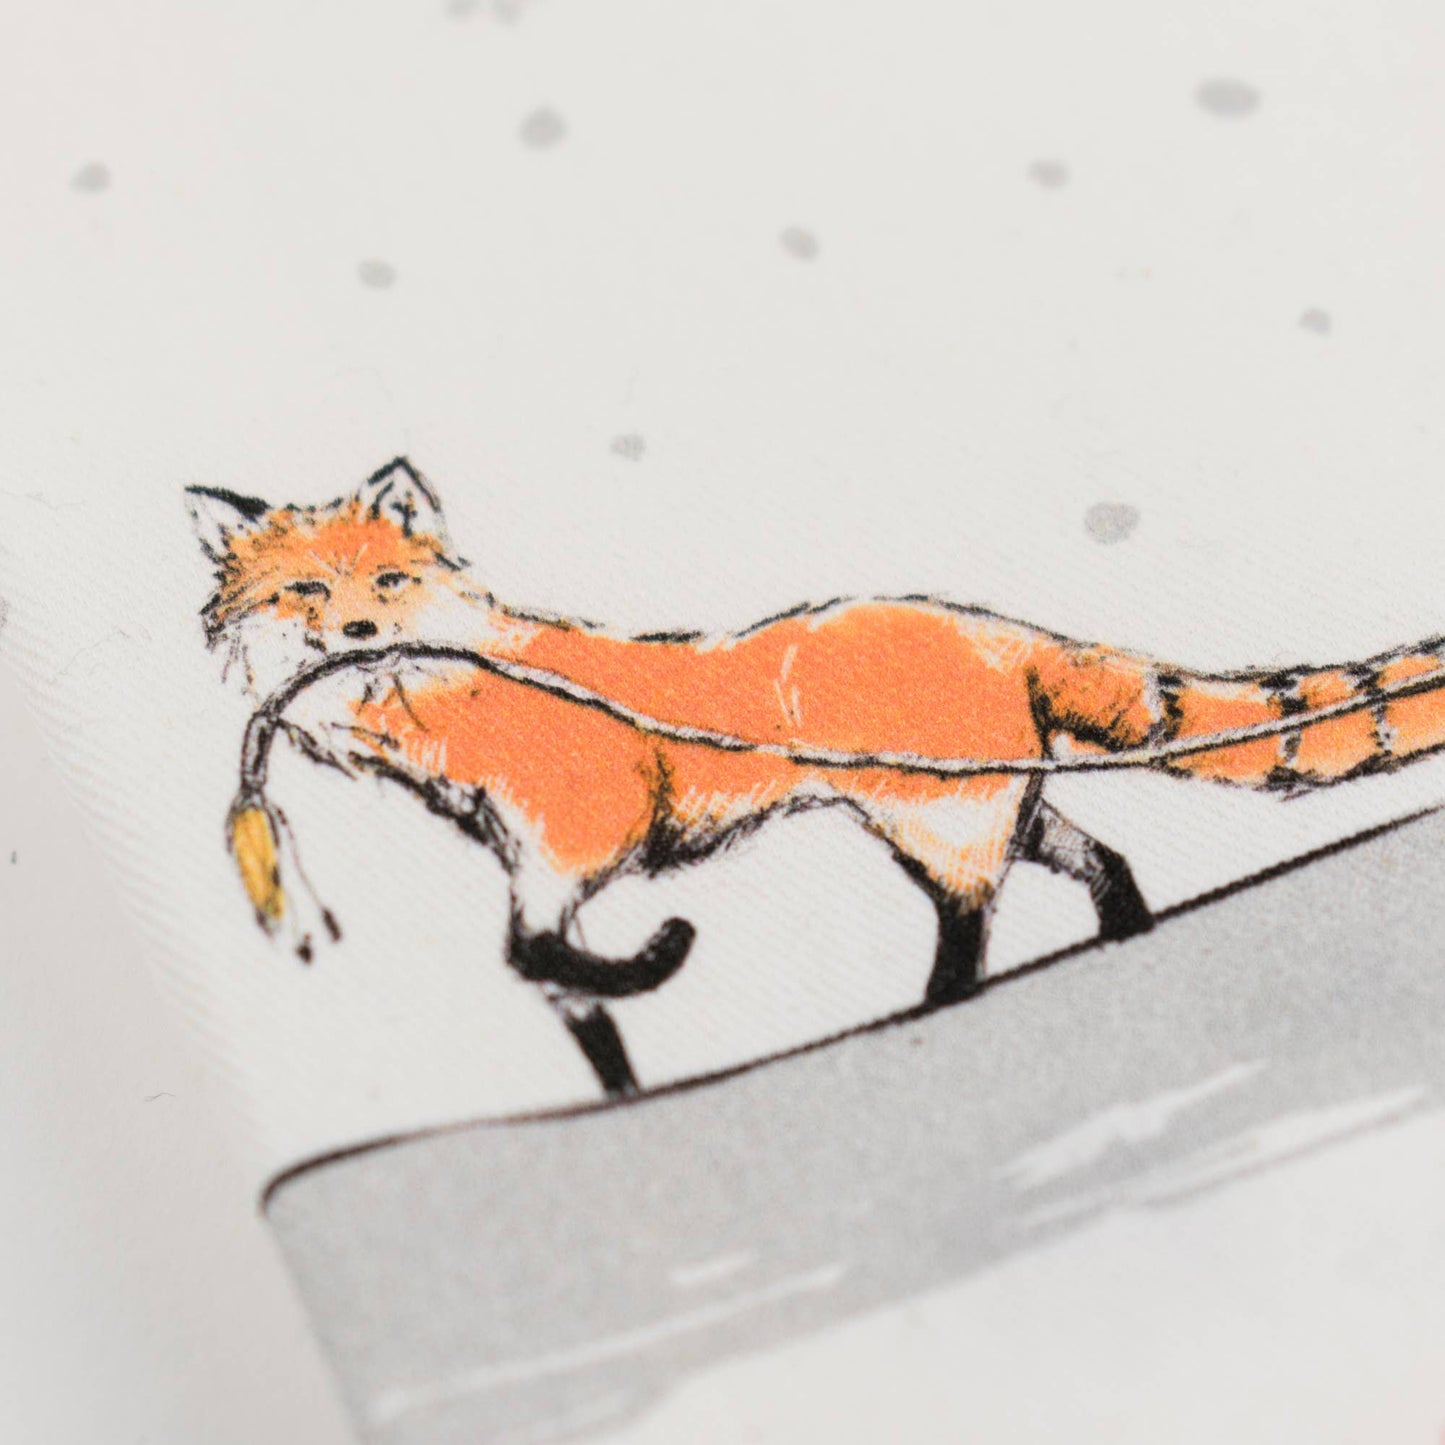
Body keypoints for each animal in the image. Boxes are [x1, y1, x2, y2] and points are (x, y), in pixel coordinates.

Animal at [189, 457, 1445, 1095]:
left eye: (388, 583)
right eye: (304, 594)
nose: (356, 629)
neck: (458, 699)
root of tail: (987, 624)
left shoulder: (577, 836)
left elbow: (535, 950)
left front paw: (657, 958)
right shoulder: (532, 861)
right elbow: (566, 1002)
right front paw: (622, 1076)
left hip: (936, 822)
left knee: (971, 926)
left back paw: (931, 1014)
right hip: (999, 807)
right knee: (1105, 861)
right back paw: (1122, 943)